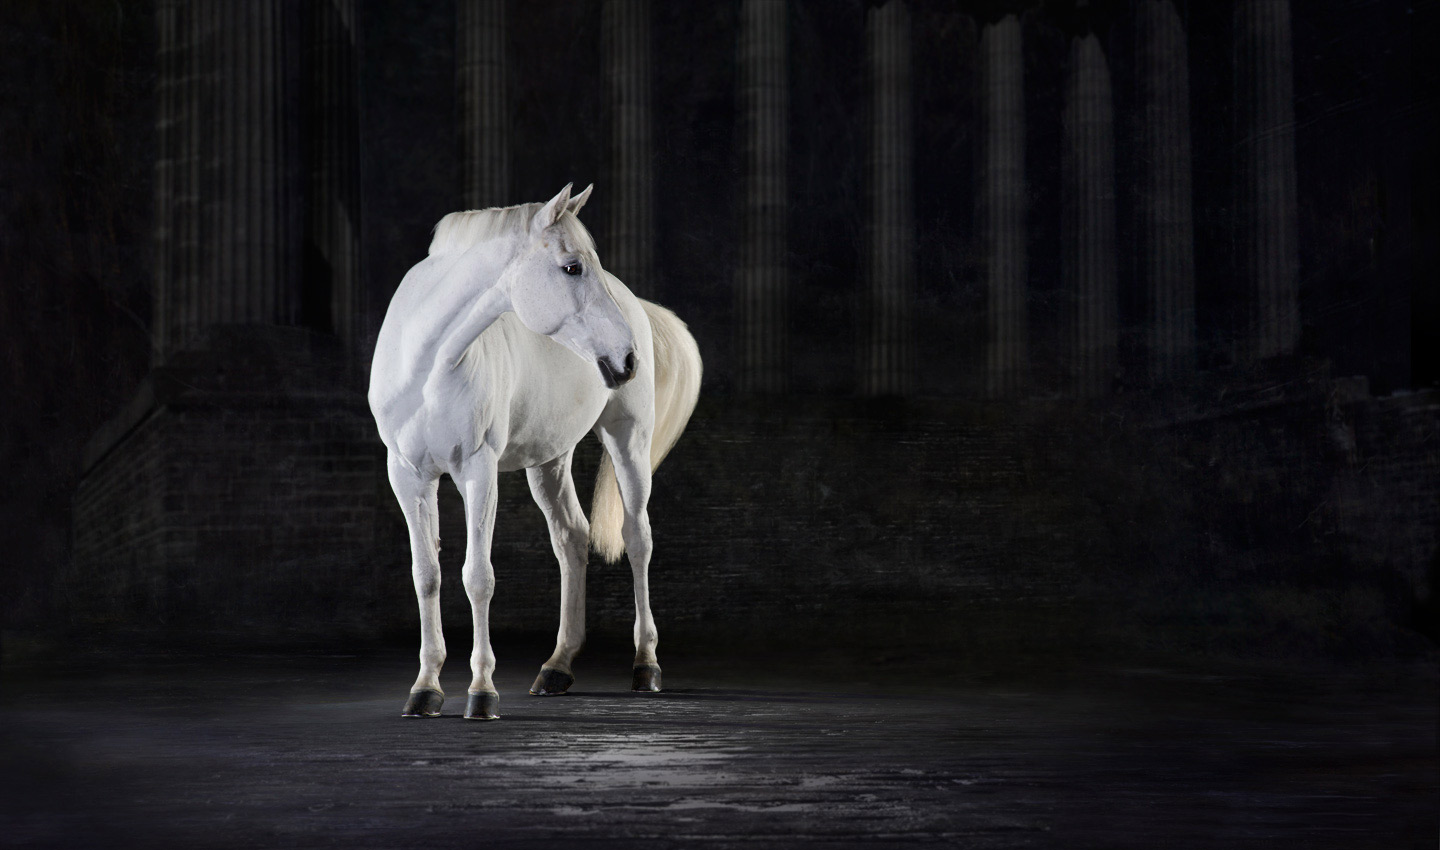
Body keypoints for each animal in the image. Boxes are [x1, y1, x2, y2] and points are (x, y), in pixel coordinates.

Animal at [368, 184, 702, 720]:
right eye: (572, 267)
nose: (627, 358)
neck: (428, 368)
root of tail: (635, 303)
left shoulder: (477, 471)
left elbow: (477, 576)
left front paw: (482, 692)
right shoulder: (407, 476)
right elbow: (427, 576)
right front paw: (425, 689)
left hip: (628, 438)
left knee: (637, 538)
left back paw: (646, 665)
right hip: (549, 460)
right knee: (571, 538)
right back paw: (557, 666)